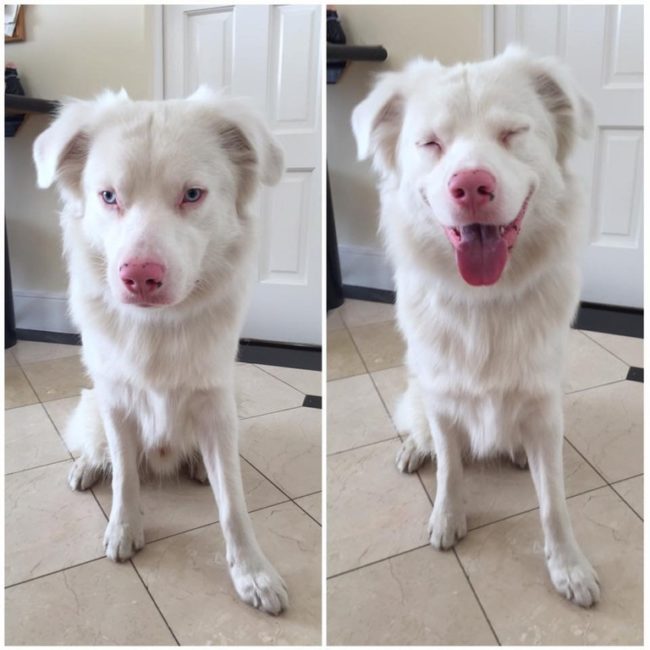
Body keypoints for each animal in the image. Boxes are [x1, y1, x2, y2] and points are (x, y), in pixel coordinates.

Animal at [34, 87, 288, 612]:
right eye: (109, 196)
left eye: (192, 195)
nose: (139, 278)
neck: (158, 326)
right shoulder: (115, 401)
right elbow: (125, 477)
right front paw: (124, 529)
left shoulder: (216, 405)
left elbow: (233, 505)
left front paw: (252, 573)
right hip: (91, 405)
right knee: (100, 452)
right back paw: (86, 467)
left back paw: (195, 467)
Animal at [352, 46, 600, 608]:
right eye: (430, 144)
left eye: (511, 133)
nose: (469, 187)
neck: (484, 301)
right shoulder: (443, 399)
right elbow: (450, 469)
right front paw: (448, 518)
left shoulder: (544, 409)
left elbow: (553, 502)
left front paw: (568, 567)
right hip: (417, 392)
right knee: (421, 432)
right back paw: (413, 449)